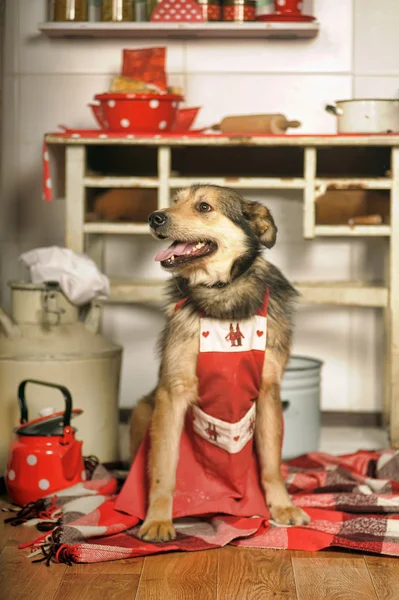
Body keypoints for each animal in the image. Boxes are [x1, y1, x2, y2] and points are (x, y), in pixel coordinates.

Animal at [130, 184, 310, 544]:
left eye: (204, 207)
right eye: (174, 202)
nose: (154, 217)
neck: (222, 293)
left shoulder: (268, 392)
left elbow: (271, 464)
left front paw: (282, 506)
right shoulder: (171, 394)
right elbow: (163, 469)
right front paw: (157, 520)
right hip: (143, 413)